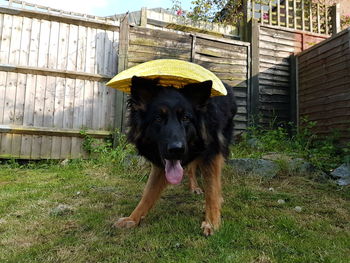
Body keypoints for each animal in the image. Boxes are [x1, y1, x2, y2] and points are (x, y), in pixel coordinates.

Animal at [116, 76, 237, 237]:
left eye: (186, 118)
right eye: (158, 118)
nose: (177, 149)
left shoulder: (211, 153)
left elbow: (212, 189)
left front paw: (211, 222)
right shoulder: (161, 164)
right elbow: (148, 193)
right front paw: (133, 218)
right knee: (191, 168)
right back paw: (194, 187)